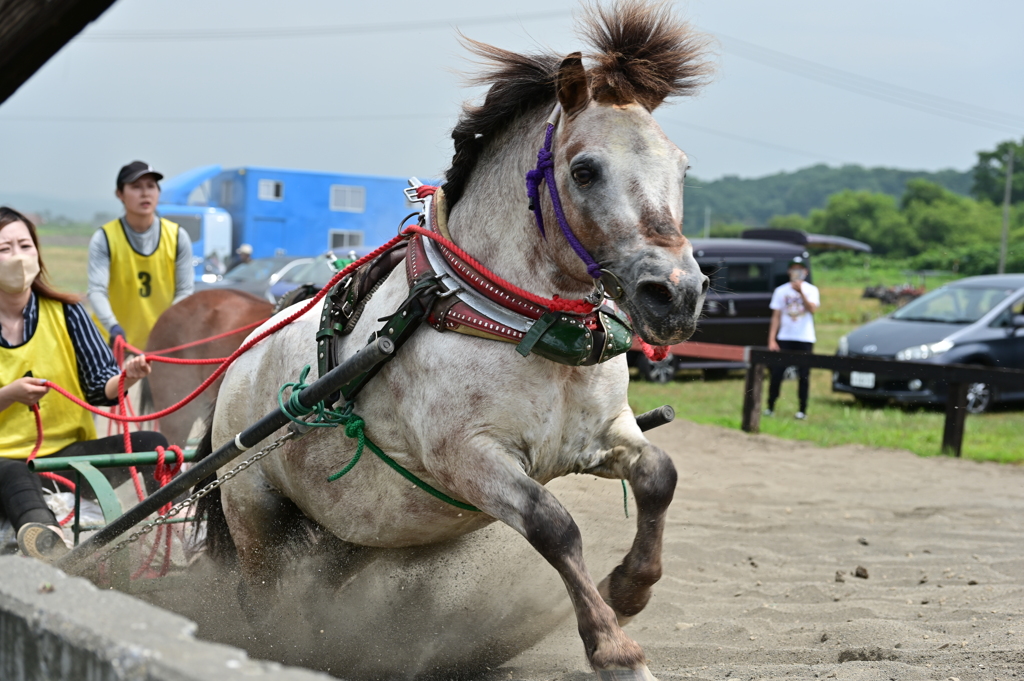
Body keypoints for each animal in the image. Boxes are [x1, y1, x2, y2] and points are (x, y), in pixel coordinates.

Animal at [197, 3, 712, 675]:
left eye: (681, 167)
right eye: (584, 170)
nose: (676, 293)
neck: (520, 325)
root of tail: (241, 355)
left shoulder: (602, 434)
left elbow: (659, 476)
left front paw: (627, 589)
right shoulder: (469, 458)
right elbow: (555, 526)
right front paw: (614, 648)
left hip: (352, 533)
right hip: (257, 518)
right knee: (260, 598)